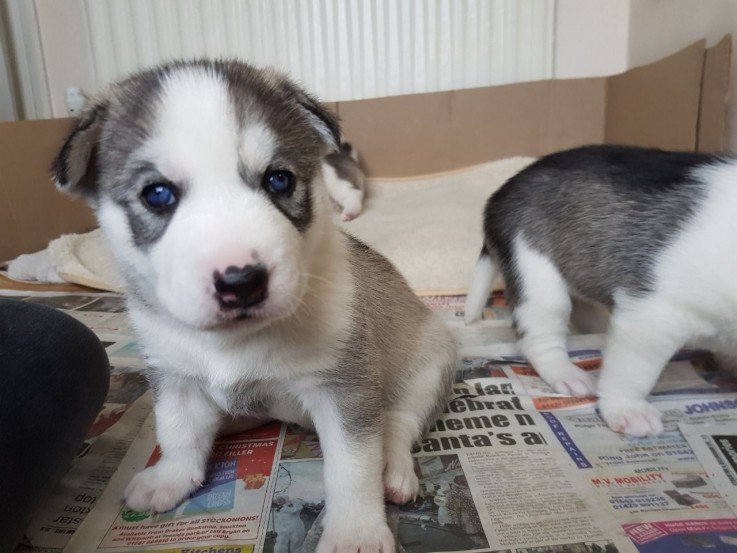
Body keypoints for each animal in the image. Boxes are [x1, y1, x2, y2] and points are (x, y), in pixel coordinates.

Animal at [53, 59, 454, 552]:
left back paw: (393, 468)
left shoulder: (343, 389)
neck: (235, 342)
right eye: (157, 194)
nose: (241, 281)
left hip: (428, 367)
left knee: (397, 421)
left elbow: (352, 468)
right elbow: (177, 432)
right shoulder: (176, 378)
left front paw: (355, 532)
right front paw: (170, 477)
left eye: (279, 180)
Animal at [466, 144, 736, 438]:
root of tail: (501, 193)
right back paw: (566, 373)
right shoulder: (653, 314)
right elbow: (631, 373)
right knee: (538, 339)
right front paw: (628, 411)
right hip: (535, 274)